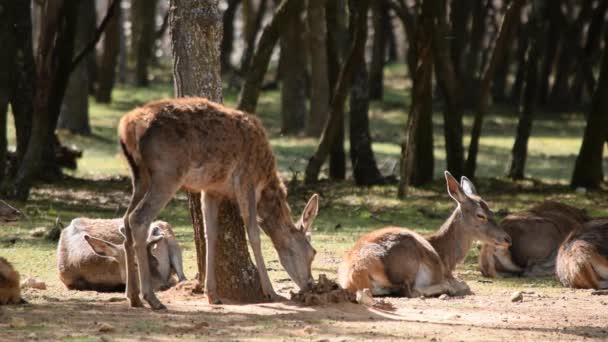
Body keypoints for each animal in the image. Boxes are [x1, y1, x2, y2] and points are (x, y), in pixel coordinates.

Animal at [116, 97, 320, 308]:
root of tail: (128, 126)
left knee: (125, 219)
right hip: (167, 173)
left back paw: (132, 295)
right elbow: (254, 234)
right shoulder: (245, 179)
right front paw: (271, 292)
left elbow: (210, 233)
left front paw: (212, 293)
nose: (311, 284)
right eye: (313, 252)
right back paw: (151, 298)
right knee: (138, 218)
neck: (265, 182)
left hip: (140, 176)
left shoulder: (212, 189)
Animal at [340, 171, 510, 296]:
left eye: (492, 211)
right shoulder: (446, 272)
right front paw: (454, 286)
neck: (448, 259)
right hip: (409, 259)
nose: (507, 238)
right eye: (480, 215)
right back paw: (447, 288)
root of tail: (357, 272)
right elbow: (465, 285)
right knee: (410, 290)